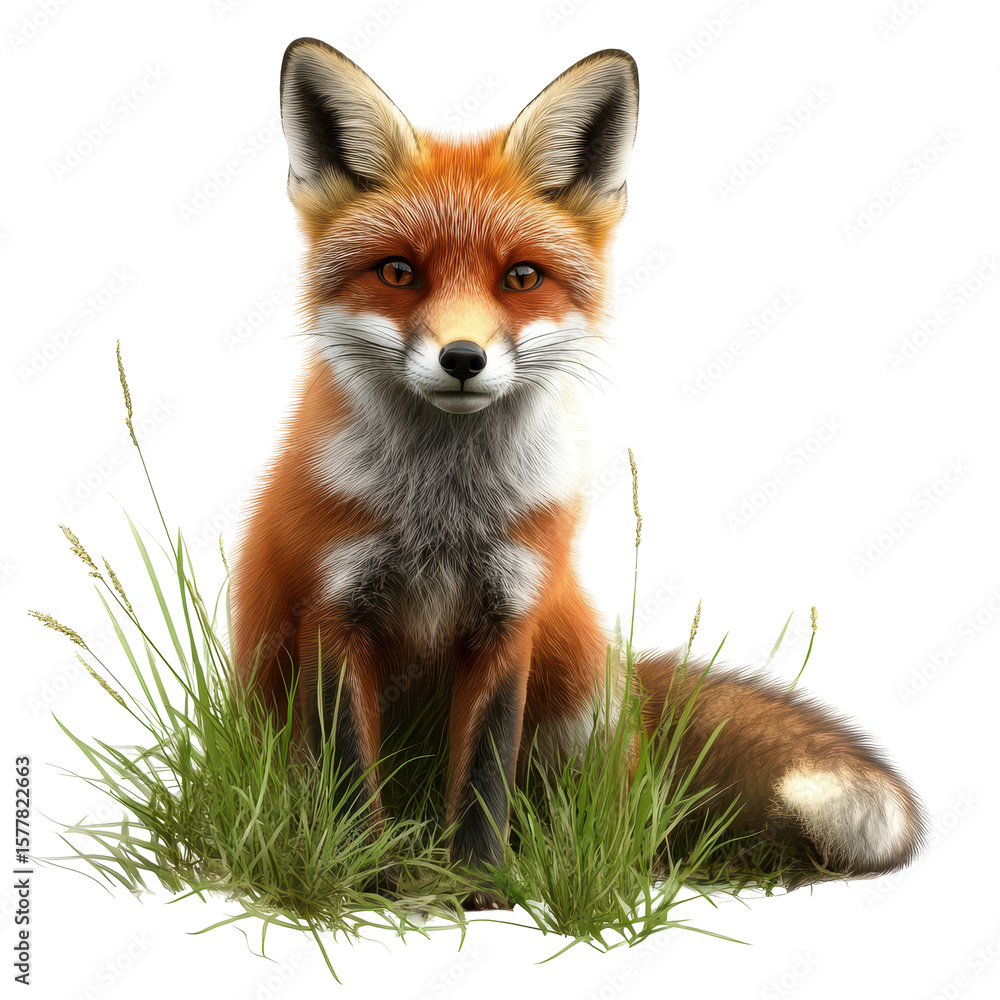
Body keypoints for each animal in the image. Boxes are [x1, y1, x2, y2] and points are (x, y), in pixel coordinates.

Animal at [231, 37, 925, 909]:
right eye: (398, 272)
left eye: (521, 278)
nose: (464, 358)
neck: (441, 514)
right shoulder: (333, 610)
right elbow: (351, 767)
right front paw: (365, 878)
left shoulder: (510, 617)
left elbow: (485, 771)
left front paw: (480, 886)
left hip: (581, 708)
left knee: (616, 821)